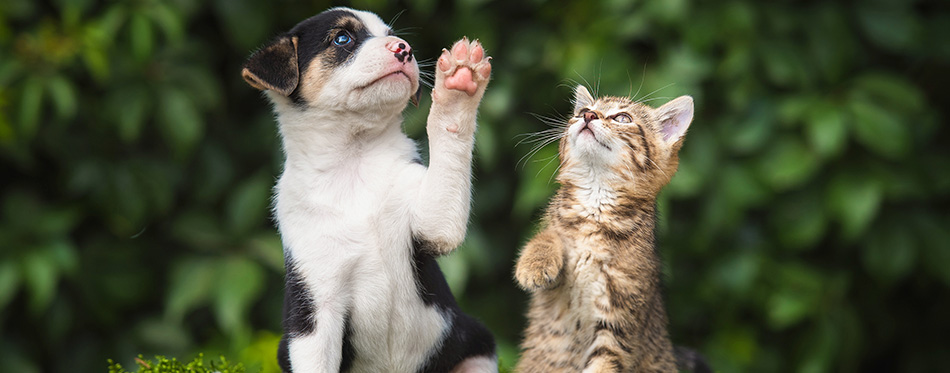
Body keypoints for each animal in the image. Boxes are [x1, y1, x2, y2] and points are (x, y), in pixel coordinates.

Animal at [242, 5, 498, 372]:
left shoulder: (434, 225)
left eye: (390, 34)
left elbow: (449, 132)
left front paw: (459, 85)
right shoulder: (315, 310)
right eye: (342, 38)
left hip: (476, 347)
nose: (404, 48)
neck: (354, 158)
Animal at [516, 85, 696, 370]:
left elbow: (604, 363)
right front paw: (535, 263)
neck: (596, 202)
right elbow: (548, 235)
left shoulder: (619, 320)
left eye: (622, 118)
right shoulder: (551, 293)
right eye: (581, 111)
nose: (588, 115)